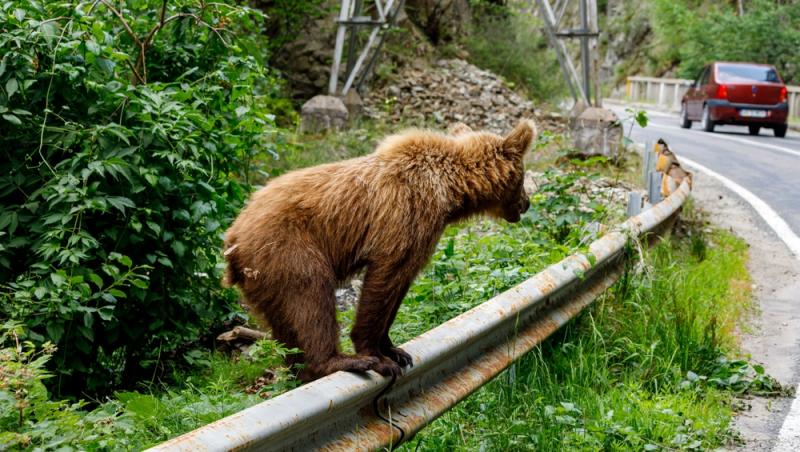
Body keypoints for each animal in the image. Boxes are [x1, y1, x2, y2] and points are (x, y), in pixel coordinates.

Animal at [223, 118, 536, 380]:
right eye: (522, 178)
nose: (527, 203)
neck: (449, 190)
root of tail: (232, 239)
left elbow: (401, 284)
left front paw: (396, 350)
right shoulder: (406, 214)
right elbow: (386, 276)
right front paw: (378, 357)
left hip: (263, 279)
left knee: (286, 325)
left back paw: (300, 371)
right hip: (287, 247)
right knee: (310, 297)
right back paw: (338, 361)